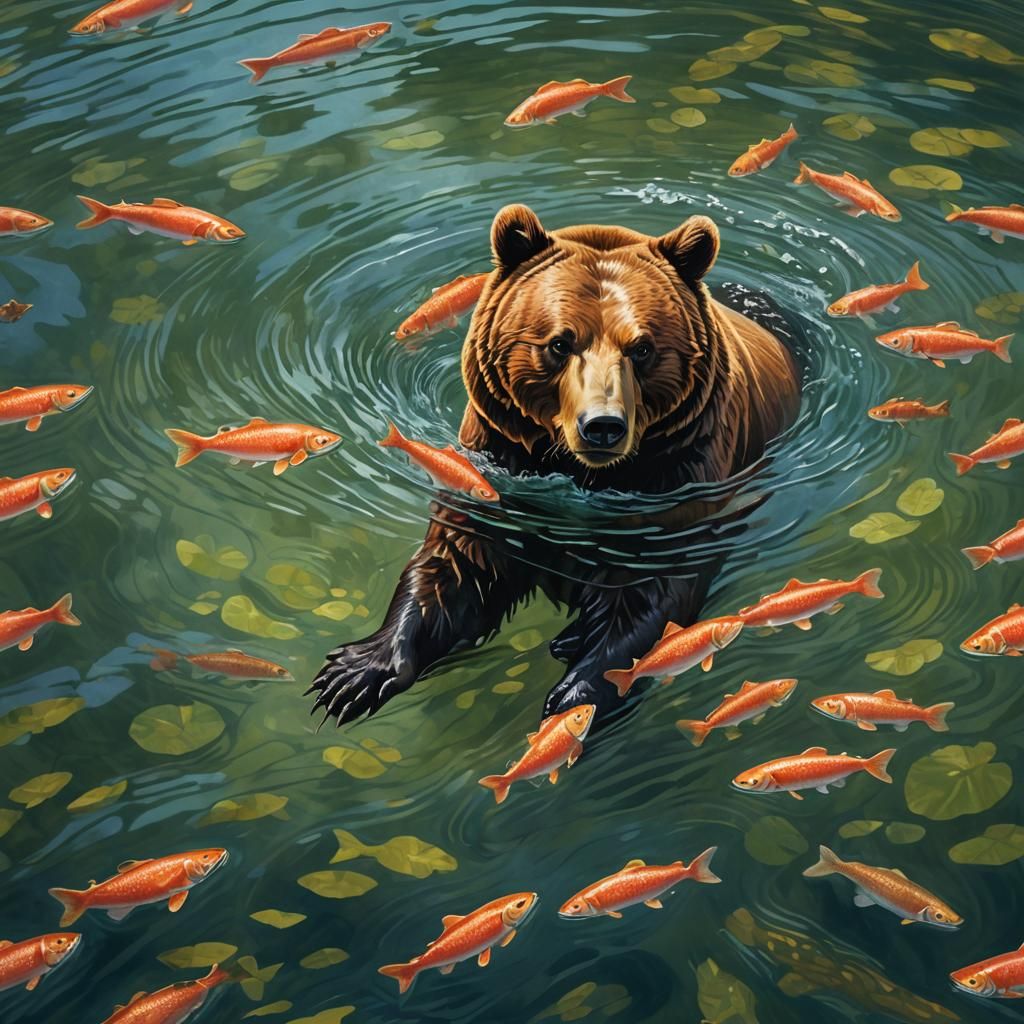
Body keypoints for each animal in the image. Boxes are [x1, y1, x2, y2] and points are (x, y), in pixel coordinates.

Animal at [307, 204, 801, 728]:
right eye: (560, 343)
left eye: (642, 348)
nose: (602, 426)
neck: (580, 475)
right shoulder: (496, 471)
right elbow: (453, 567)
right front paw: (354, 674)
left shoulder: (677, 483)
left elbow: (651, 596)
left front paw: (575, 695)